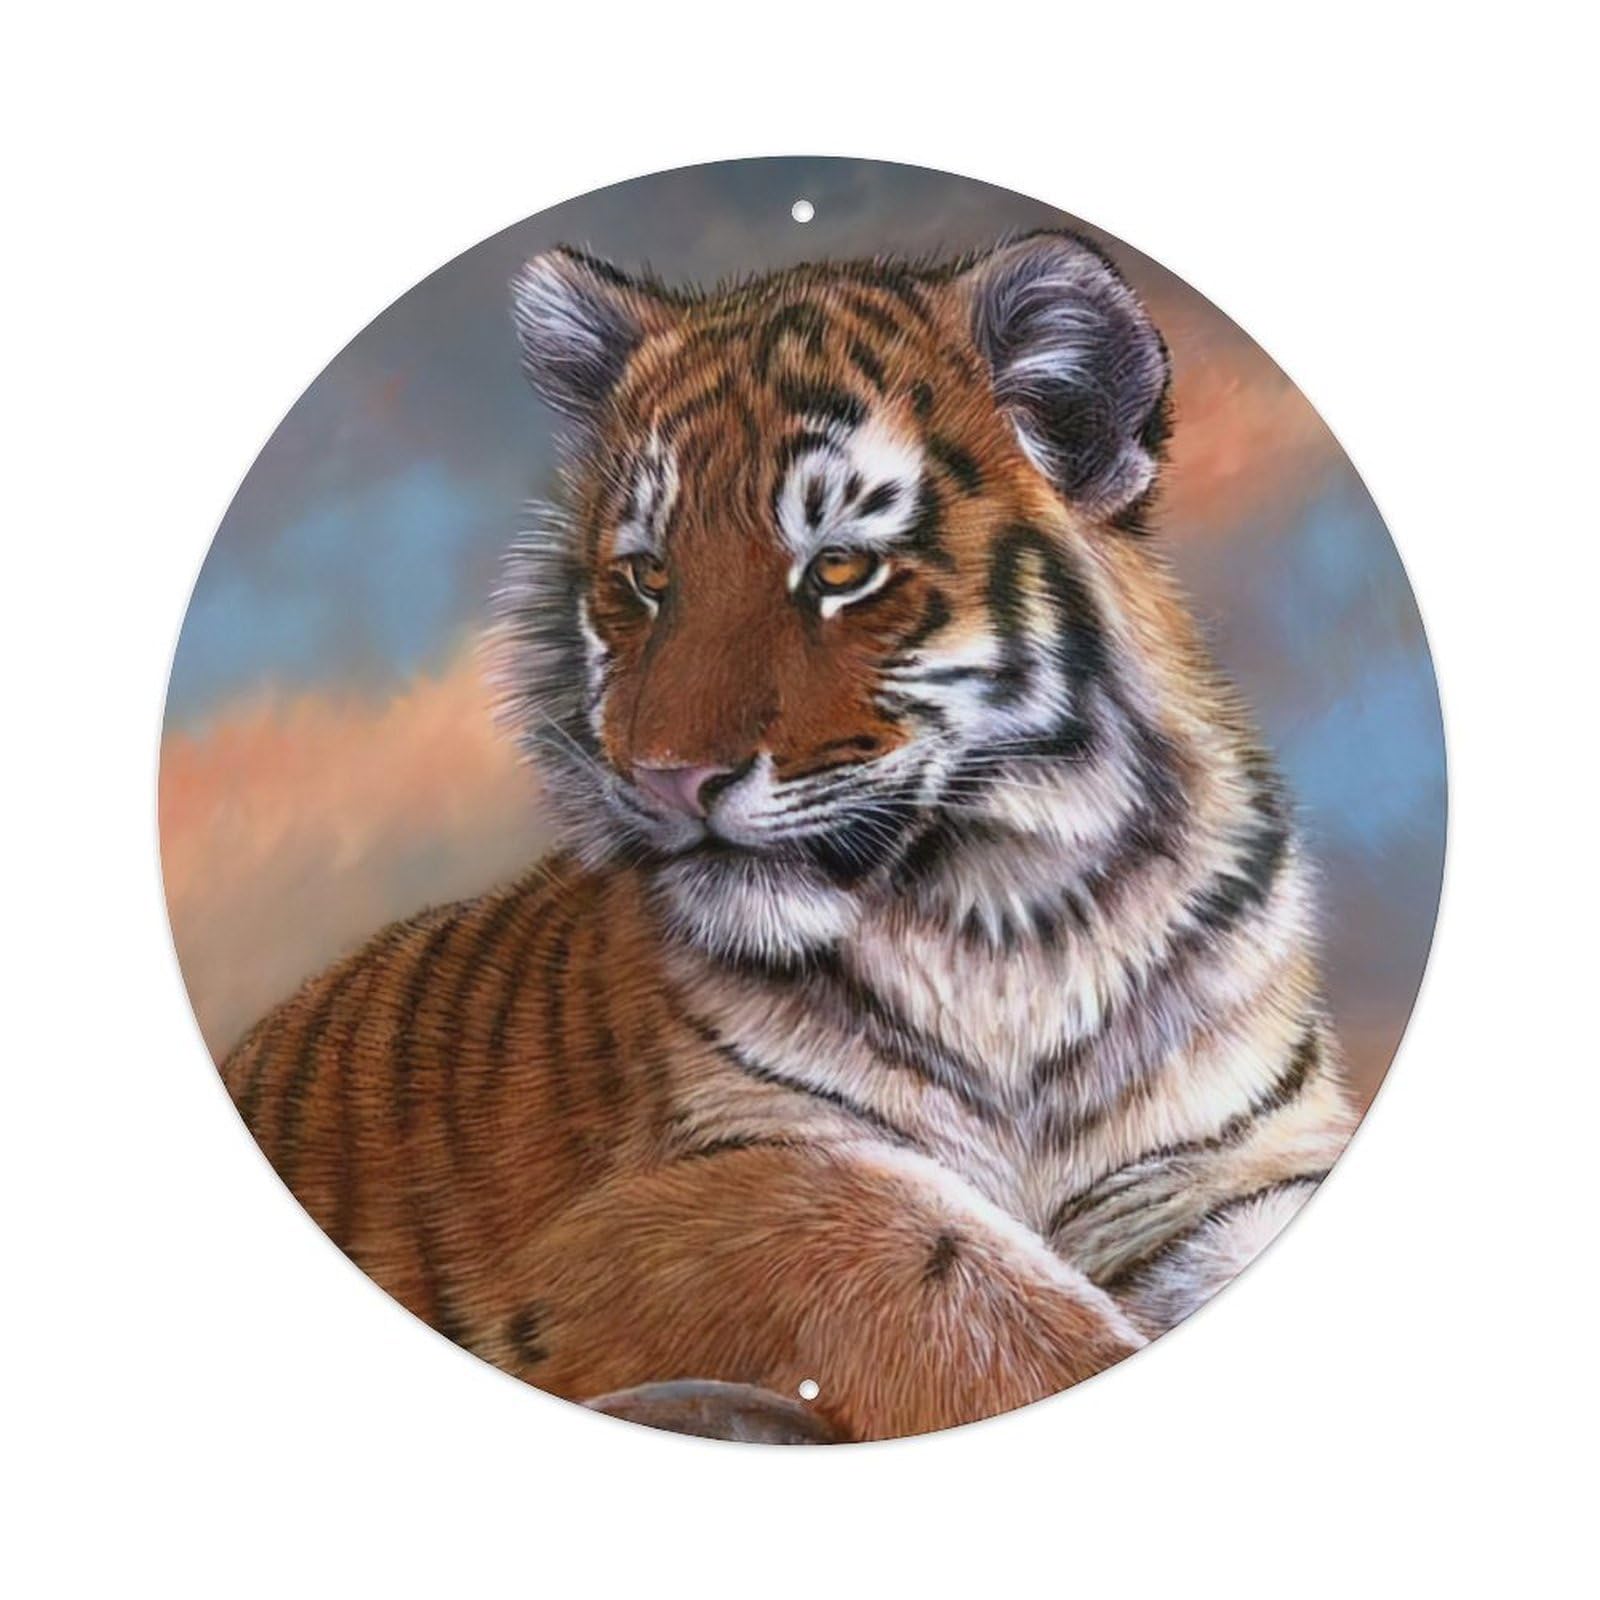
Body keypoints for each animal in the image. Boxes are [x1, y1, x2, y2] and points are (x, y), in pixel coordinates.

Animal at [220, 230, 1356, 1443]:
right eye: (647, 577)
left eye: (841, 569)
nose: (667, 778)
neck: (1011, 926)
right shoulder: (686, 1193)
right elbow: (919, 1258)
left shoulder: (1229, 1168)